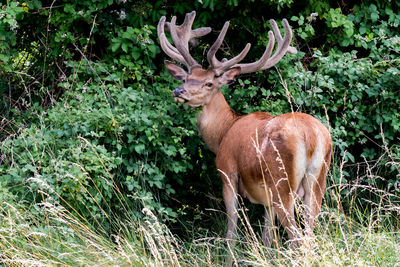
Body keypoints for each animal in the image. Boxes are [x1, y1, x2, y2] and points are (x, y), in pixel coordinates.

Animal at [158, 10, 332, 253]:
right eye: (186, 78)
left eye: (209, 83)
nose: (178, 91)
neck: (223, 133)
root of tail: (312, 136)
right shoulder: (266, 196)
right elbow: (267, 236)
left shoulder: (227, 173)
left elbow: (231, 232)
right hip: (318, 181)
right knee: (309, 232)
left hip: (283, 184)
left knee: (297, 237)